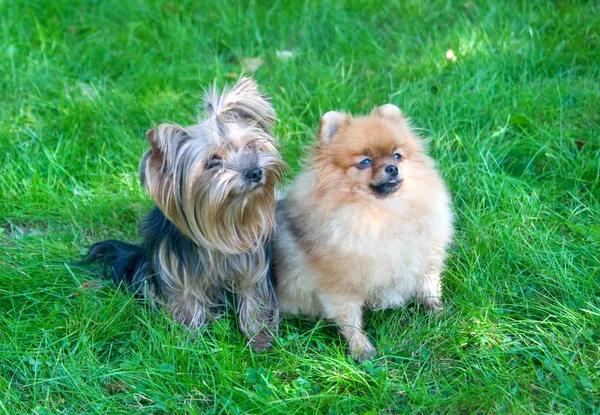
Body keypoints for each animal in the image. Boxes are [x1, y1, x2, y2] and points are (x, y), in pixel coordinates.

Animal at [78, 78, 284, 352]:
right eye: (213, 161)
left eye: (251, 146)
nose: (255, 171)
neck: (224, 218)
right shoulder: (175, 266)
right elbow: (185, 299)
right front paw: (188, 339)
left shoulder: (254, 264)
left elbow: (254, 297)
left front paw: (259, 338)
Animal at [274, 105, 452, 362]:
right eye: (366, 162)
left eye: (397, 156)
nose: (392, 168)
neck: (384, 214)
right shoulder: (338, 284)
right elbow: (349, 318)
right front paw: (361, 349)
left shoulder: (423, 259)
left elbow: (429, 288)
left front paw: (438, 313)